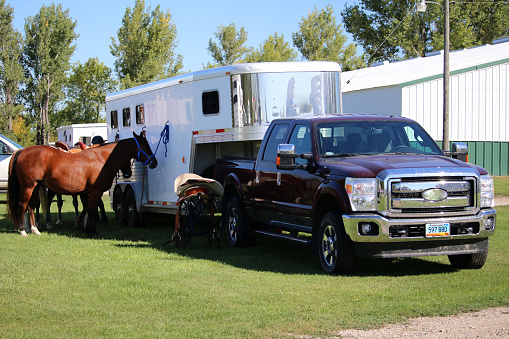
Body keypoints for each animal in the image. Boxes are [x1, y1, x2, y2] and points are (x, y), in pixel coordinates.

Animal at [6, 131, 157, 238]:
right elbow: (91, 210)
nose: (154, 162)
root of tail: (21, 151)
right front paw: (90, 231)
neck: (102, 159)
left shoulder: (88, 192)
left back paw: (34, 229)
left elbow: (90, 209)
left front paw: (90, 229)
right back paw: (23, 231)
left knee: (31, 206)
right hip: (28, 187)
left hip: (36, 187)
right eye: (145, 145)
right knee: (22, 205)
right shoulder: (95, 191)